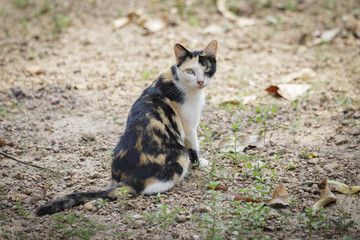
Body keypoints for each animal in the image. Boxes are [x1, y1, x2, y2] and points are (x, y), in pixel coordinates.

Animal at [35, 40, 217, 217]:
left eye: (207, 68)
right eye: (190, 71)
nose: (200, 81)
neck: (179, 80)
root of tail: (127, 180)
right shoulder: (189, 128)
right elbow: (194, 149)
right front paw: (200, 163)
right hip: (179, 157)